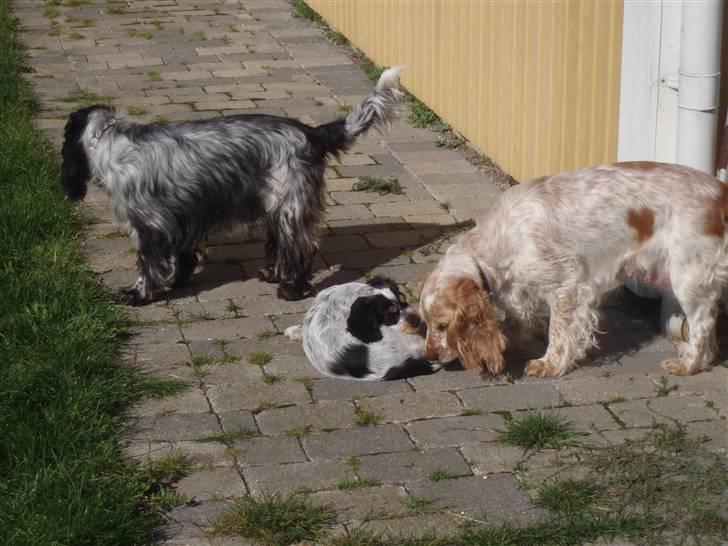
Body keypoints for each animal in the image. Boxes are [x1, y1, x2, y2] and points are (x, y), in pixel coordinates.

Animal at [61, 66, 404, 302]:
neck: (109, 141)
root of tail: (312, 133)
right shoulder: (181, 217)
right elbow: (182, 256)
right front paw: (177, 281)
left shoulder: (148, 225)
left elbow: (147, 265)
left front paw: (137, 295)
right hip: (276, 205)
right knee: (281, 246)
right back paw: (271, 274)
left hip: (289, 205)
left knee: (301, 248)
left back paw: (292, 289)